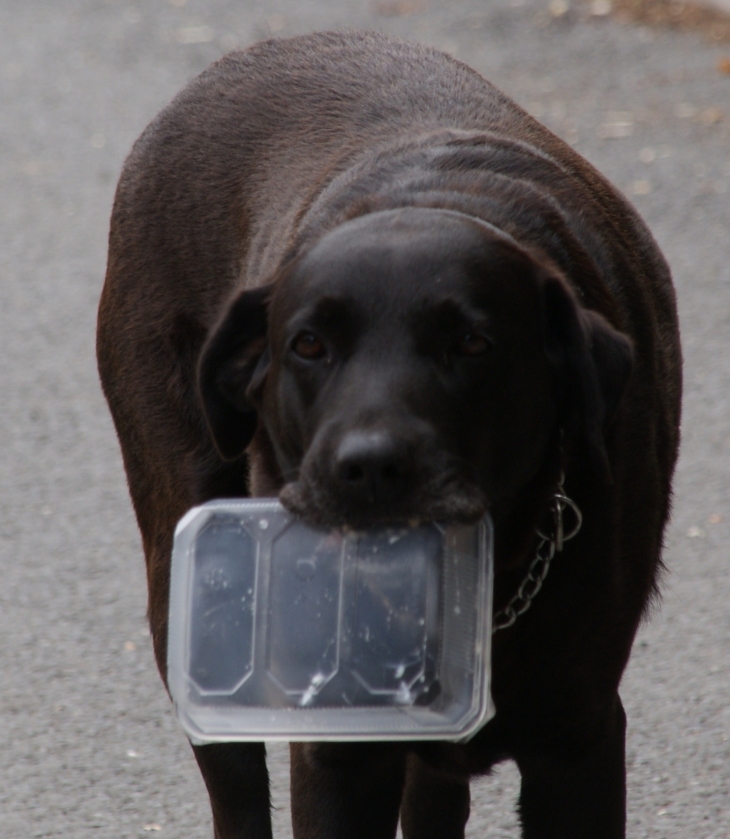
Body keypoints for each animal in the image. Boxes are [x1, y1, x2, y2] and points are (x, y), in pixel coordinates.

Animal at [95, 29, 676, 836]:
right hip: (188, 586)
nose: (368, 466)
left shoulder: (579, 741)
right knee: (236, 783)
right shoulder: (338, 751)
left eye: (472, 344)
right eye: (309, 344)